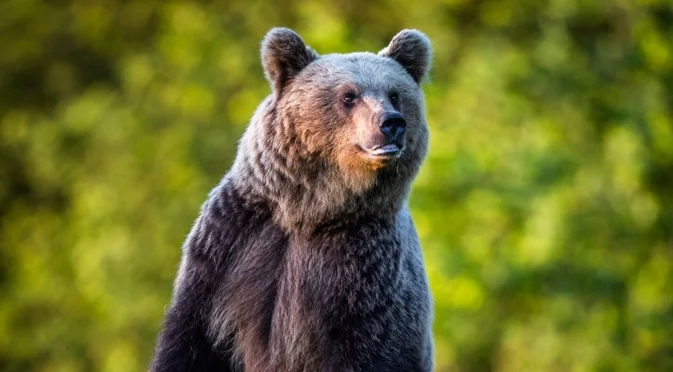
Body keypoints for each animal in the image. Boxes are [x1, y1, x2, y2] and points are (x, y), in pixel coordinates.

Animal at [150, 26, 434, 372]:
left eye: (395, 94)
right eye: (348, 96)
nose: (391, 122)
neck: (310, 209)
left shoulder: (365, 271)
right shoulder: (228, 249)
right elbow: (190, 342)